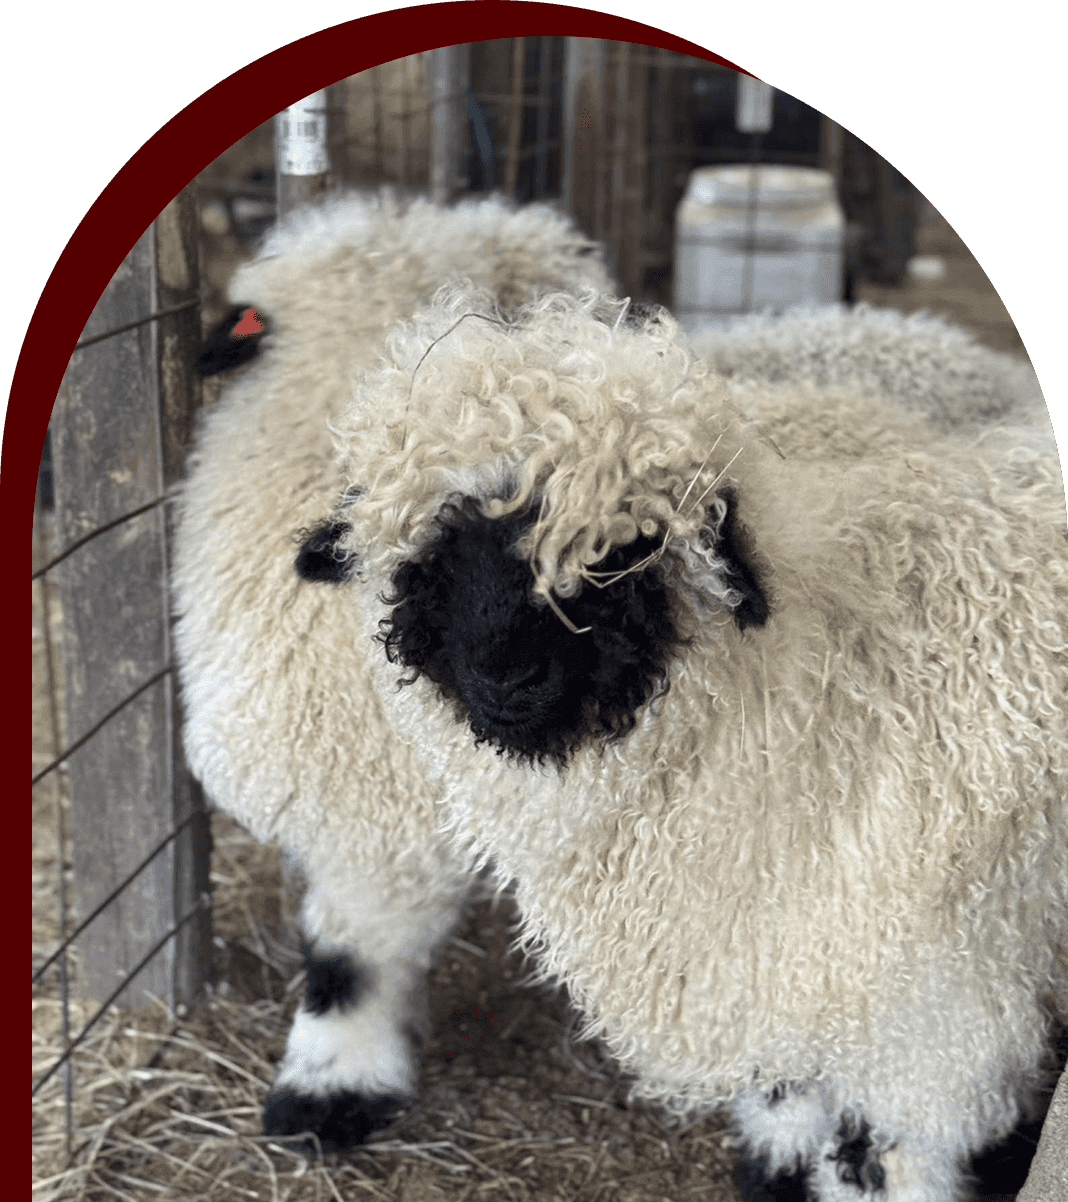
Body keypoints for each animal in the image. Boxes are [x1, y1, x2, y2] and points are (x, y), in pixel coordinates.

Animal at [172, 190, 1067, 1201]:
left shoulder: (929, 1008)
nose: (507, 674)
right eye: (431, 553)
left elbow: (879, 1147)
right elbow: (345, 955)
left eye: (625, 557)